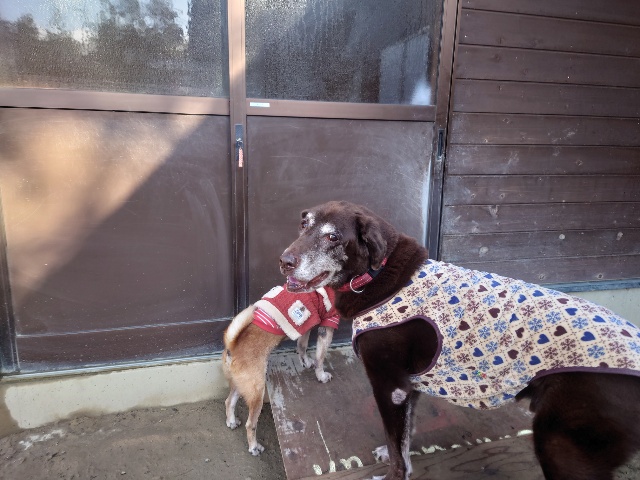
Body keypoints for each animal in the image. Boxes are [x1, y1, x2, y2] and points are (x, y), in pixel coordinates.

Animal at [223, 284, 339, 455]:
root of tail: (233, 345)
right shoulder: (328, 322)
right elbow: (320, 357)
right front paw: (321, 375)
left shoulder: (306, 326)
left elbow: (302, 346)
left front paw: (306, 362)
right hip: (257, 393)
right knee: (250, 424)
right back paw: (254, 447)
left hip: (241, 385)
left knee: (229, 401)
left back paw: (231, 421)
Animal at [279, 200, 640, 480]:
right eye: (303, 224)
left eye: (333, 237)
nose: (284, 261)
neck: (377, 275)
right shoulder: (408, 387)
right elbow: (403, 441)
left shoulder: (390, 388)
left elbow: (398, 450)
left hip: (561, 447)